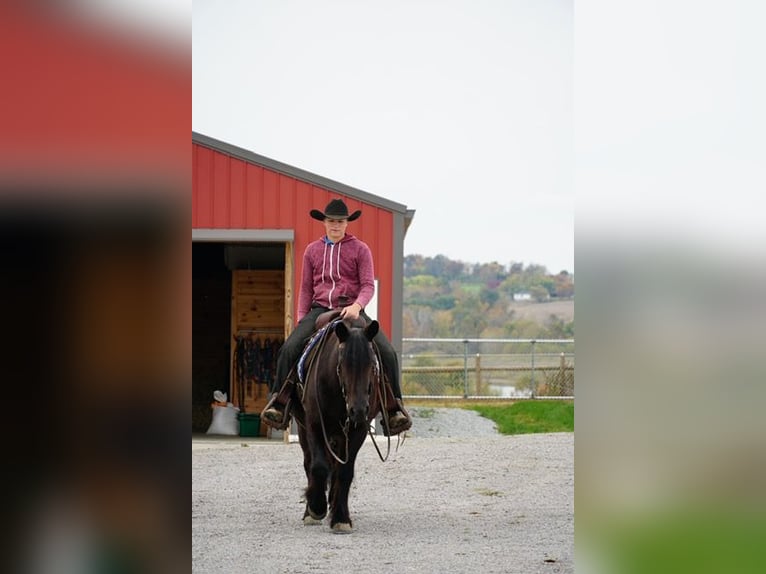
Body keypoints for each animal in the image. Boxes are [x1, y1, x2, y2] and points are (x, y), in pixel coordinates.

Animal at [295, 316, 384, 533]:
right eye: (342, 364)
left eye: (372, 364)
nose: (358, 410)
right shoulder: (314, 425)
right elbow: (318, 467)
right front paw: (316, 508)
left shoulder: (358, 431)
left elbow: (344, 472)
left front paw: (341, 518)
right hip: (303, 430)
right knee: (309, 464)